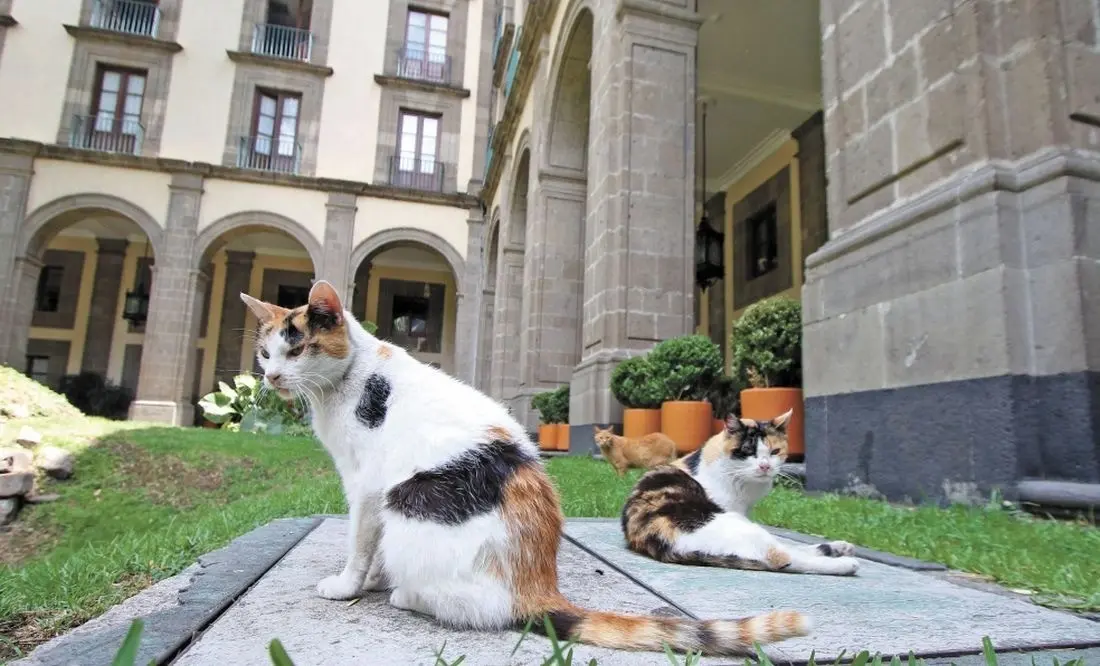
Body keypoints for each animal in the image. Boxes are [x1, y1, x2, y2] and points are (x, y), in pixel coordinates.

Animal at [236, 280, 814, 656]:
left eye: (299, 348)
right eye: (266, 353)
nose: (272, 377)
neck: (347, 382)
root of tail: (537, 583)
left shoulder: (366, 487)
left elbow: (359, 544)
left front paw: (351, 585)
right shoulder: (372, 496)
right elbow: (370, 546)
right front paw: (373, 577)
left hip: (410, 502)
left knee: (477, 609)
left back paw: (405, 594)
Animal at [620, 407, 858, 572]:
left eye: (775, 451)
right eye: (748, 451)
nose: (765, 466)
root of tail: (666, 546)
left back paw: (839, 548)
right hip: (736, 524)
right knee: (783, 557)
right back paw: (847, 563)